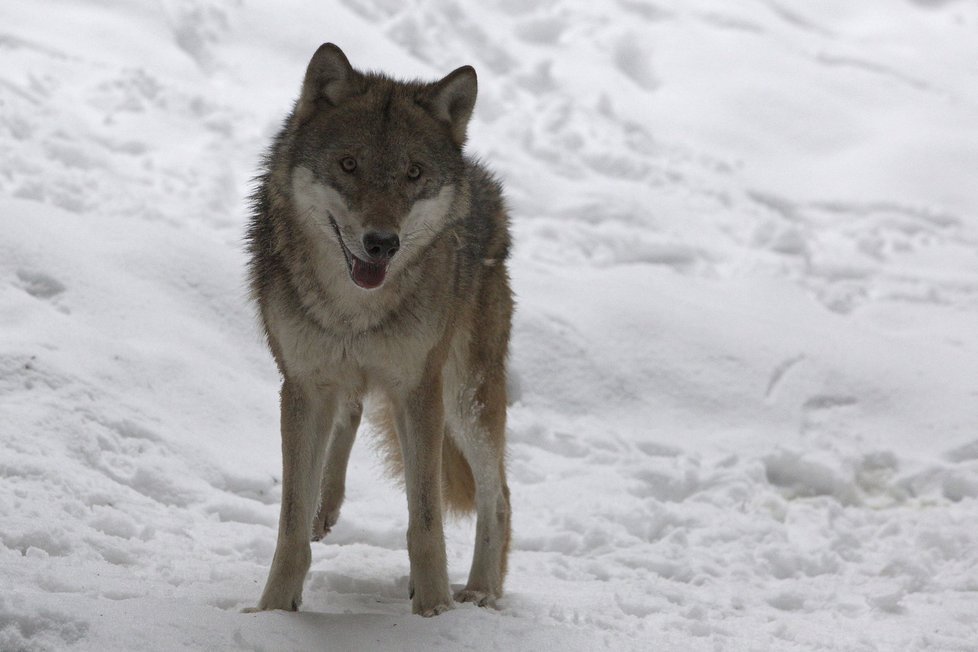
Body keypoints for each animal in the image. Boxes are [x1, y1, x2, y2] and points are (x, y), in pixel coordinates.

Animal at [244, 44, 510, 616]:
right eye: (348, 164)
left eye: (413, 173)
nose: (382, 243)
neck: (355, 311)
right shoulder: (302, 386)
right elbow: (290, 525)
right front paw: (274, 610)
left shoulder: (418, 389)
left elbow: (426, 520)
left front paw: (434, 610)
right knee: (352, 412)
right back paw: (326, 509)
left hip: (464, 398)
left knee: (497, 494)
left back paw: (481, 589)